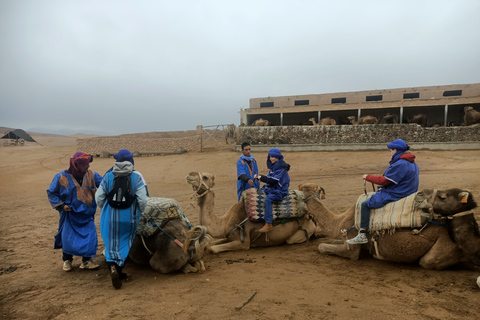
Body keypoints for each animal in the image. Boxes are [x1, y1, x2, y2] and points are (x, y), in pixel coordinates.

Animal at [186, 171, 324, 254]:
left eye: (205, 177)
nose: (190, 175)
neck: (224, 223)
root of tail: (310, 217)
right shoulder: (228, 236)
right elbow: (212, 243)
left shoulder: (243, 242)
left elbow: (212, 248)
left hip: (302, 232)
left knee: (290, 240)